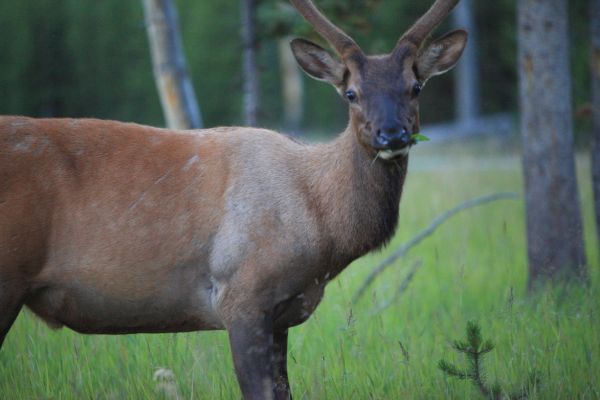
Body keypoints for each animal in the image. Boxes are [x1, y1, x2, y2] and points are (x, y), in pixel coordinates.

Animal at [0, 0, 466, 400]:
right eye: (351, 93)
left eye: (416, 86)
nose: (393, 135)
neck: (322, 230)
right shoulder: (241, 295)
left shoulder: (281, 313)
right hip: (8, 276)